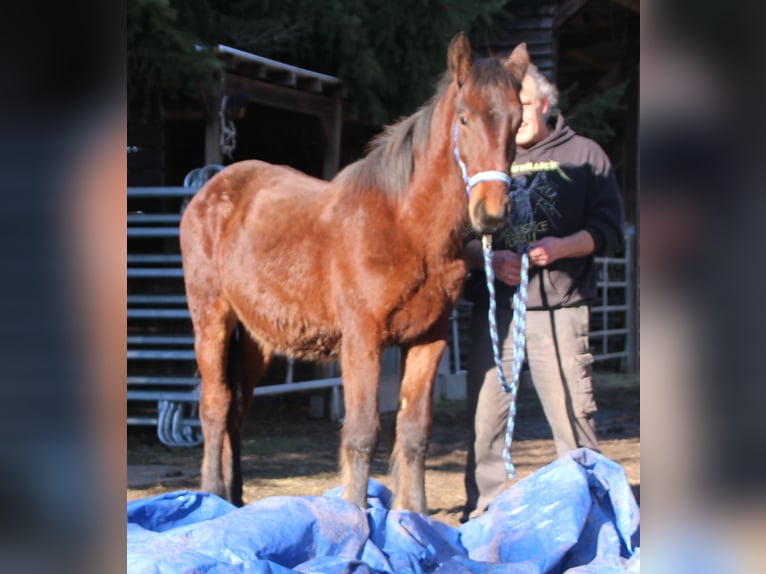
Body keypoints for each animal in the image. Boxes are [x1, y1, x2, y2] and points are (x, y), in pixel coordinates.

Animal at [182, 33, 528, 516]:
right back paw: (213, 498)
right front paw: (355, 516)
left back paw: (236, 501)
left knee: (238, 411)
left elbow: (415, 431)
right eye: (465, 118)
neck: (404, 225)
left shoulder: (430, 339)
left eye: (518, 121)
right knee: (216, 405)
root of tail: (210, 189)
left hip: (255, 339)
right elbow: (363, 431)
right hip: (211, 319)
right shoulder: (363, 340)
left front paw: (413, 516)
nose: (492, 213)